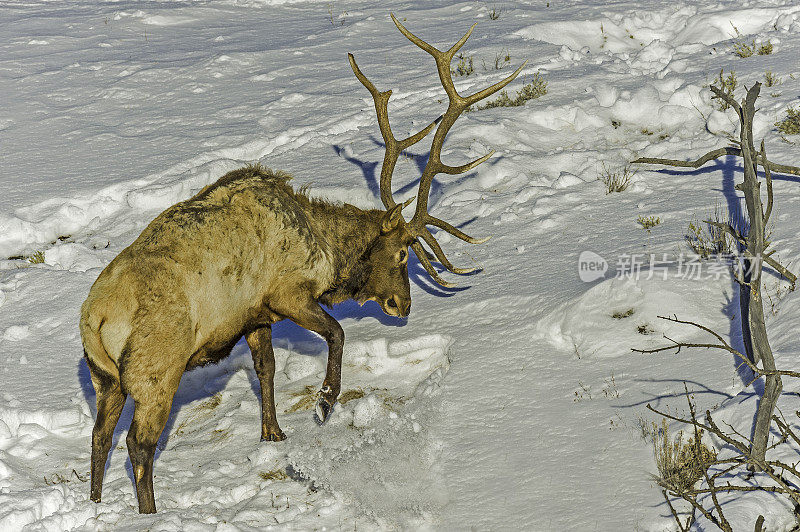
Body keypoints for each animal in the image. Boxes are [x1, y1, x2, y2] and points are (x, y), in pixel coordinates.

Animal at [79, 14, 524, 512]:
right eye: (402, 253)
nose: (403, 305)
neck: (326, 249)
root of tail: (95, 318)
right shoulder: (288, 293)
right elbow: (337, 332)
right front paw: (324, 402)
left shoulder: (255, 315)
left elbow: (267, 369)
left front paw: (273, 433)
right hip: (155, 371)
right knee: (138, 444)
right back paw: (150, 513)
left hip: (104, 377)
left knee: (99, 435)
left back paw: (95, 504)